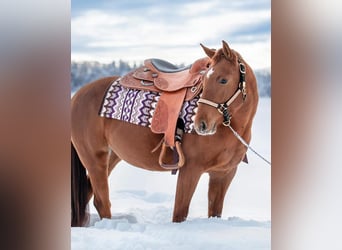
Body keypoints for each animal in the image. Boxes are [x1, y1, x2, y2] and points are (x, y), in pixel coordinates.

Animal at [71, 40, 258, 226]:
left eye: (223, 80)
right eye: (204, 81)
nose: (201, 125)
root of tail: (77, 95)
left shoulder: (223, 175)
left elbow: (214, 212)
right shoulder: (190, 170)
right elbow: (179, 213)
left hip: (111, 157)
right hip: (95, 159)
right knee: (101, 201)